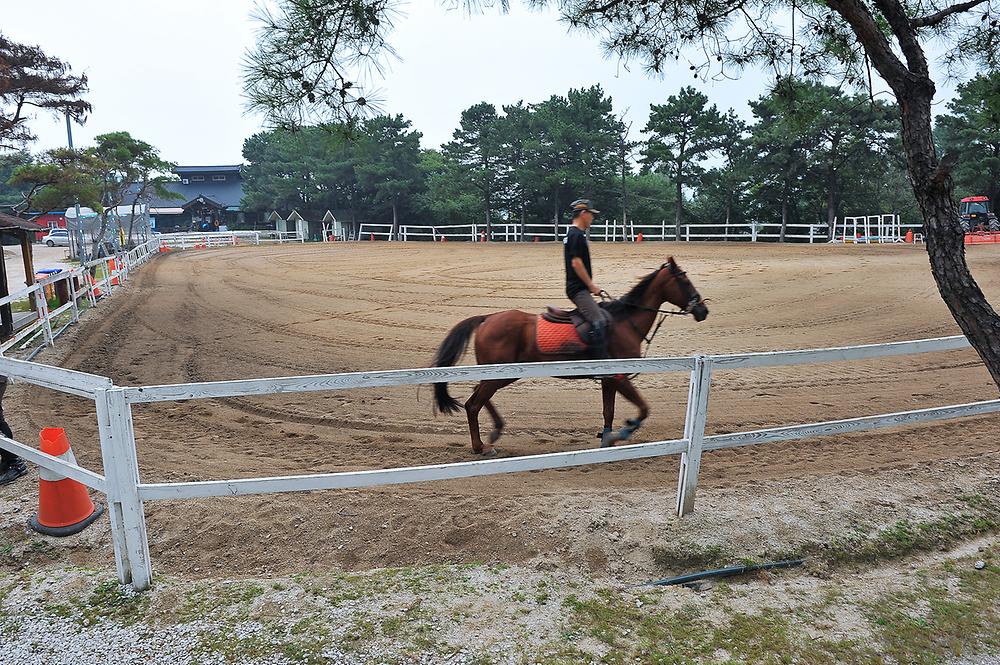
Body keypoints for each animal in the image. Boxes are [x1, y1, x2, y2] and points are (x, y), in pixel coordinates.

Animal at [434, 256, 708, 454]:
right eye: (684, 280)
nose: (703, 309)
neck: (625, 322)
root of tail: (487, 318)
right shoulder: (619, 377)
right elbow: (643, 409)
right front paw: (624, 431)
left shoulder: (609, 380)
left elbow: (608, 411)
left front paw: (607, 437)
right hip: (499, 375)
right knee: (473, 404)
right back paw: (480, 446)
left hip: (499, 374)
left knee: (477, 396)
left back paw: (495, 431)